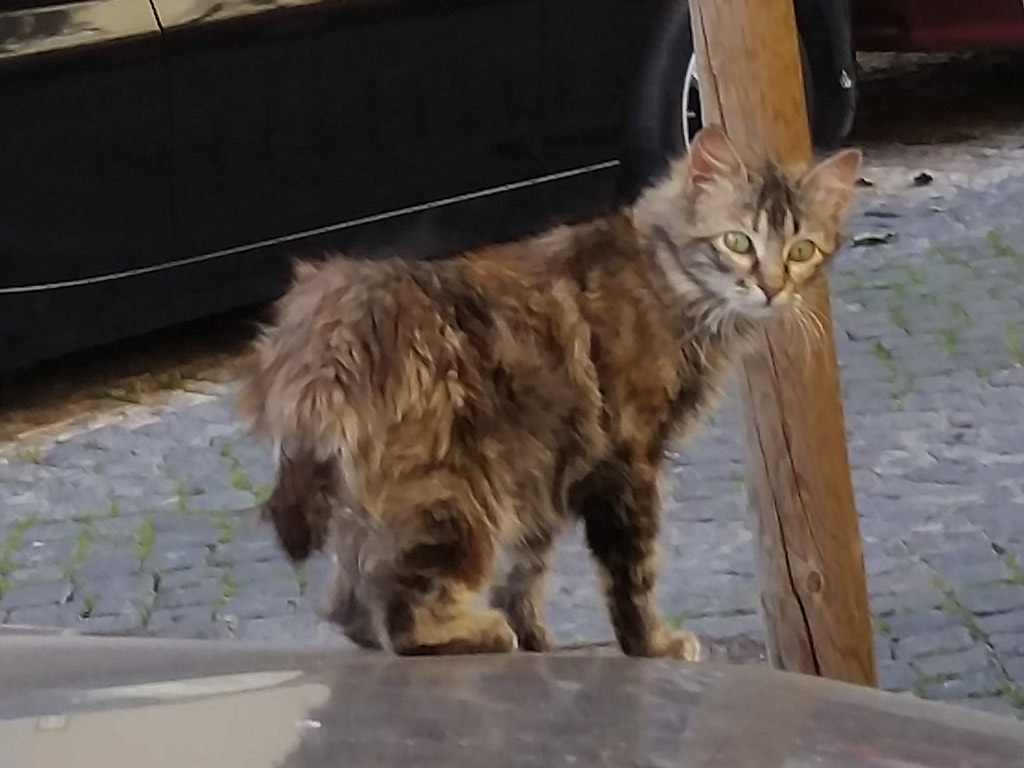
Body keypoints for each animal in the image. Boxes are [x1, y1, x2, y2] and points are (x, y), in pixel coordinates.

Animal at [235, 126, 860, 663]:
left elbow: (526, 571)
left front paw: (540, 640)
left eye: (801, 250)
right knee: (400, 613)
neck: (672, 284)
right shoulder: (628, 460)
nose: (771, 288)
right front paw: (652, 645)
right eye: (737, 242)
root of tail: (333, 314)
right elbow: (632, 574)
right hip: (455, 493)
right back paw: (478, 634)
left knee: (350, 604)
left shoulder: (551, 466)